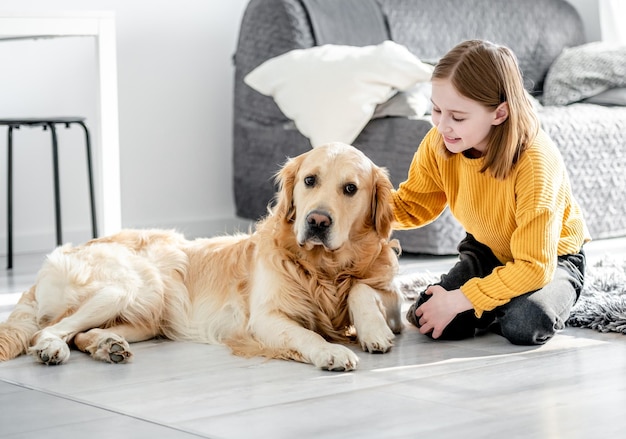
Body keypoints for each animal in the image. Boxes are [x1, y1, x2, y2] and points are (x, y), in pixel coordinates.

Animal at [0, 144, 400, 372]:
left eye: (350, 188)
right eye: (309, 180)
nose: (317, 221)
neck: (324, 269)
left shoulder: (390, 298)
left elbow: (363, 289)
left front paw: (373, 330)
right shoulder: (266, 318)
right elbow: (307, 335)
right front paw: (331, 352)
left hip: (146, 316)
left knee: (82, 333)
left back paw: (107, 346)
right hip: (130, 287)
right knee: (49, 330)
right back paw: (52, 349)